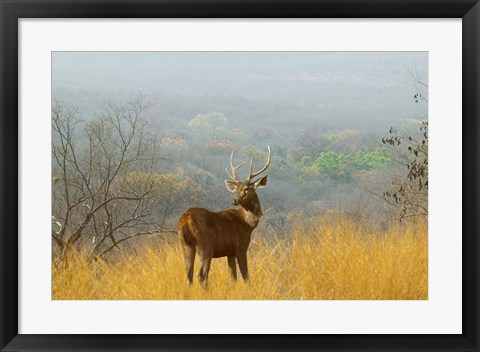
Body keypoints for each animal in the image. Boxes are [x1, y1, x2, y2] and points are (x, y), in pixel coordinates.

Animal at [178, 146, 272, 286]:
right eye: (236, 189)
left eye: (246, 189)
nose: (234, 200)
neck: (247, 224)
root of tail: (186, 219)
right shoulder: (240, 247)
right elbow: (246, 276)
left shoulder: (229, 252)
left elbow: (233, 278)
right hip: (205, 244)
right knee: (201, 275)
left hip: (185, 245)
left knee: (188, 276)